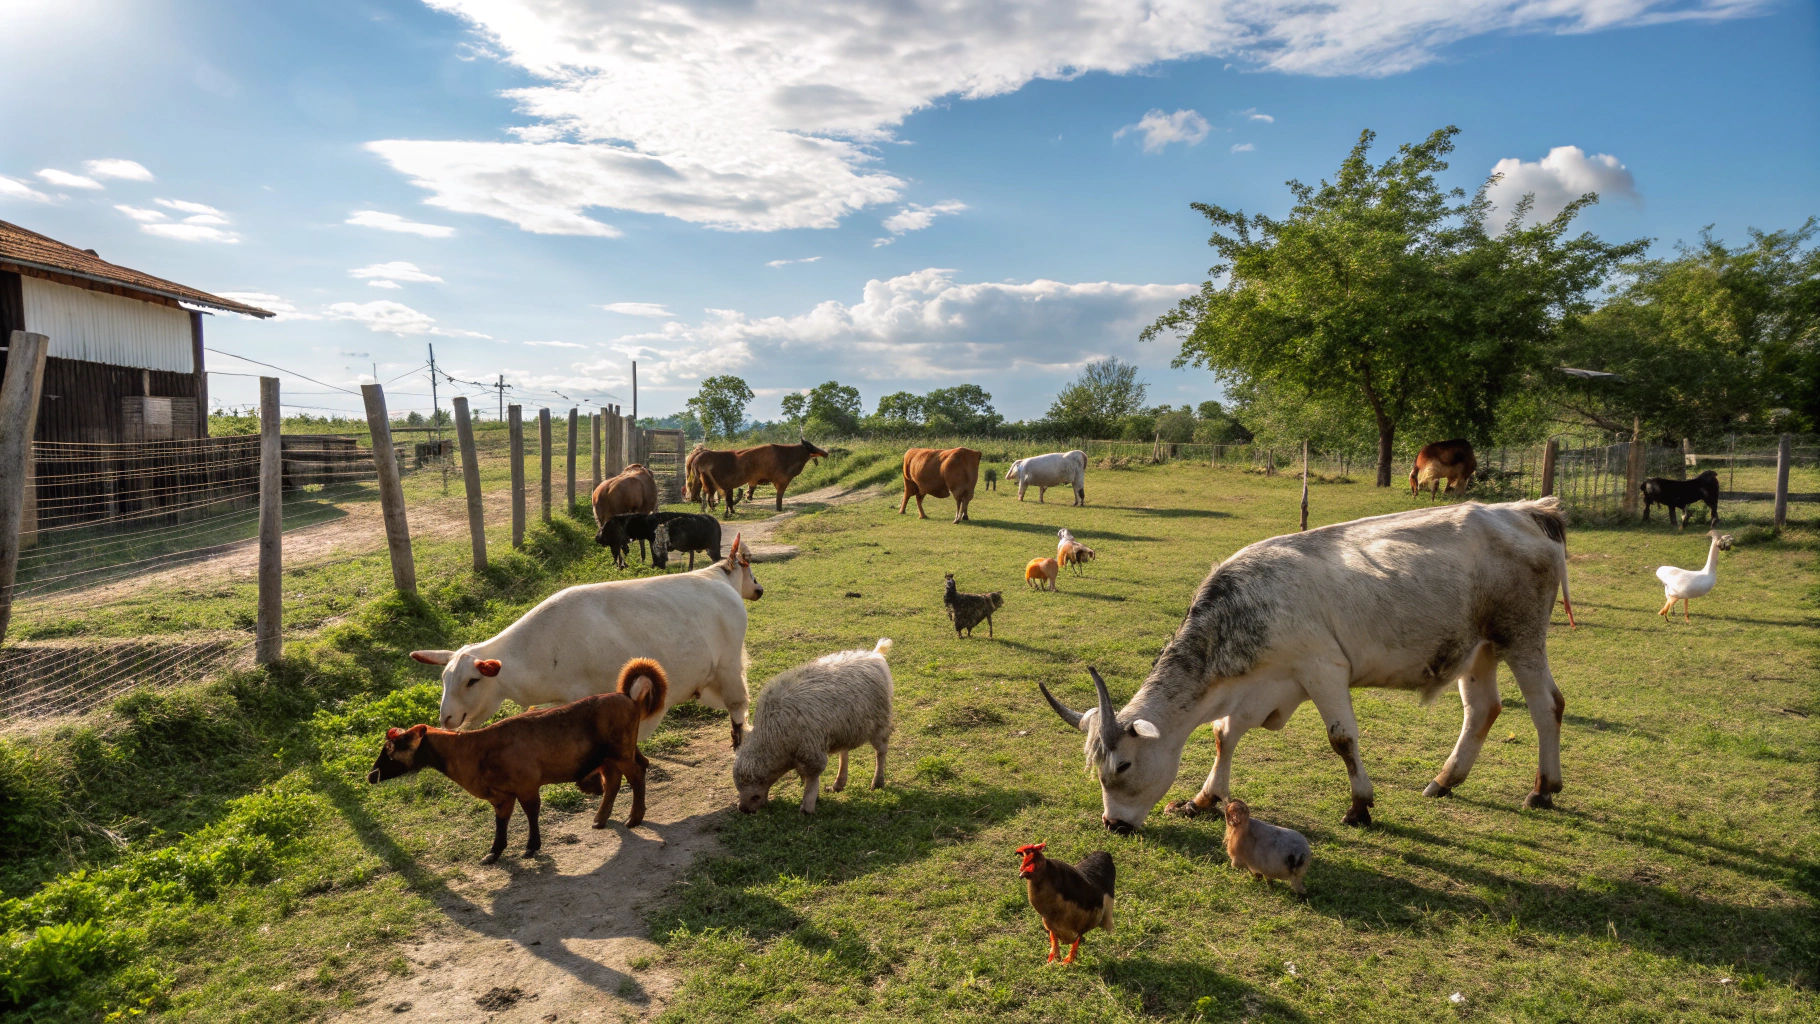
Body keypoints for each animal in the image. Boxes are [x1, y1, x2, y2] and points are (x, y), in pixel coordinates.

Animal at [368, 659, 668, 863]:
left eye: (393, 748)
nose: (372, 775)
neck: (471, 751)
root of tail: (628, 698)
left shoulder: (526, 786)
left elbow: (532, 813)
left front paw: (531, 846)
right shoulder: (501, 795)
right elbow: (501, 822)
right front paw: (493, 853)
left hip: (621, 752)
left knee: (636, 774)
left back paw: (634, 818)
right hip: (609, 756)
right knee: (616, 780)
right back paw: (600, 820)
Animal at [691, 439, 830, 515]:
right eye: (810, 446)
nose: (826, 453)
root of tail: (696, 460)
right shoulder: (781, 481)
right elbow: (779, 499)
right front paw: (779, 509)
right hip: (707, 482)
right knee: (708, 497)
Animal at [735, 640, 894, 814]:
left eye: (754, 797)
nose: (743, 809)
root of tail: (874, 655)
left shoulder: (811, 752)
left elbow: (812, 776)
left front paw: (807, 807)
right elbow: (805, 776)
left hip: (879, 722)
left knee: (881, 751)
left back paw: (878, 781)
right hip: (844, 726)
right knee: (844, 751)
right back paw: (839, 783)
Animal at [1038, 497, 1575, 834]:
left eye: (1122, 765)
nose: (1113, 824)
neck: (1245, 609)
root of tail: (1525, 511)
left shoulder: (1323, 670)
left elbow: (1343, 739)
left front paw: (1360, 805)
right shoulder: (1264, 684)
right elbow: (1224, 735)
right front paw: (1203, 799)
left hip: (1523, 638)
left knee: (1547, 704)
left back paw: (1544, 789)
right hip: (1478, 650)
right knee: (1482, 709)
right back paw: (1445, 781)